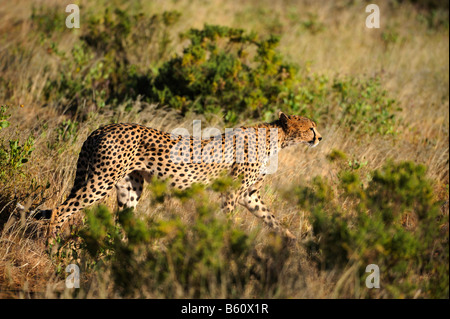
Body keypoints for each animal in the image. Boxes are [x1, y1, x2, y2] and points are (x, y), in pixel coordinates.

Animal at [46, 112, 320, 240]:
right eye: (310, 128)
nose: (319, 138)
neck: (278, 139)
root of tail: (102, 128)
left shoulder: (249, 195)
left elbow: (273, 220)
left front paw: (293, 243)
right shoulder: (231, 192)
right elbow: (227, 221)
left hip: (130, 186)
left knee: (122, 220)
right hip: (101, 179)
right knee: (60, 209)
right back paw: (51, 245)